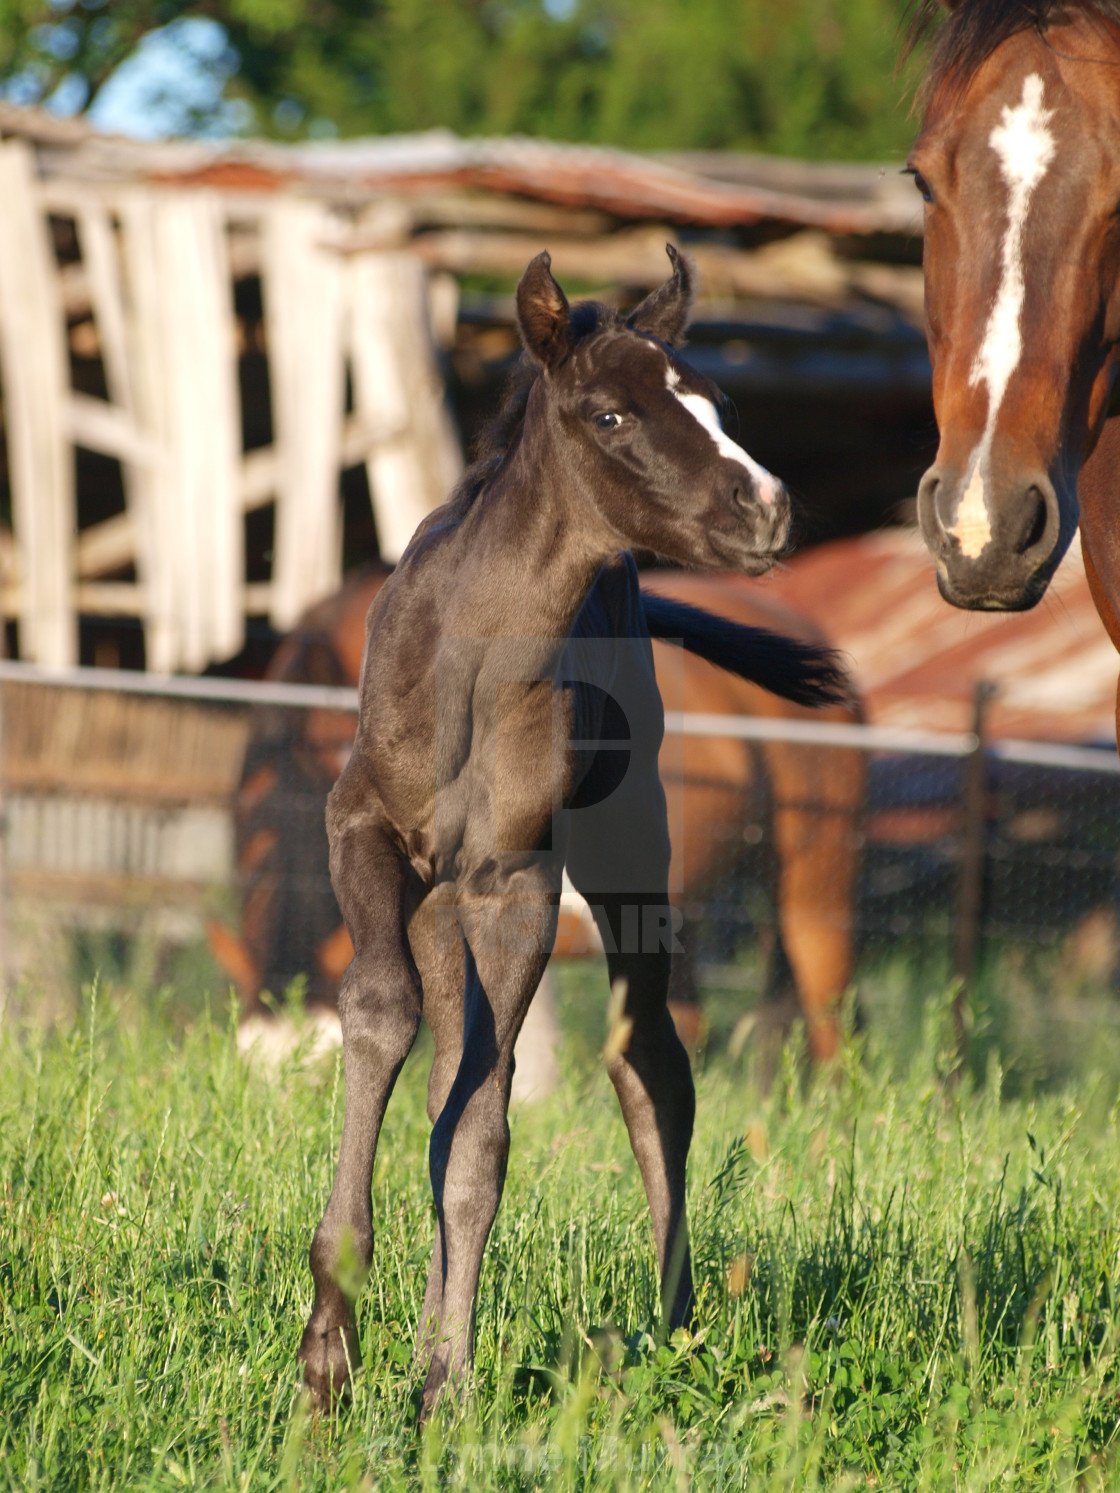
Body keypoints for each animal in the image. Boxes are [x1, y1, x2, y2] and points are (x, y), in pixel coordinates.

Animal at [298, 247, 842, 1421]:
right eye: (611, 413)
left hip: (628, 852)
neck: (471, 660)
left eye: (717, 404)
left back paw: (676, 1333)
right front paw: (331, 1351)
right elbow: (384, 1019)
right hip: (442, 902)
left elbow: (484, 1133)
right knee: (452, 1061)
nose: (767, 507)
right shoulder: (361, 829)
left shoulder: (516, 882)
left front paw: (443, 1386)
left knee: (650, 1065)